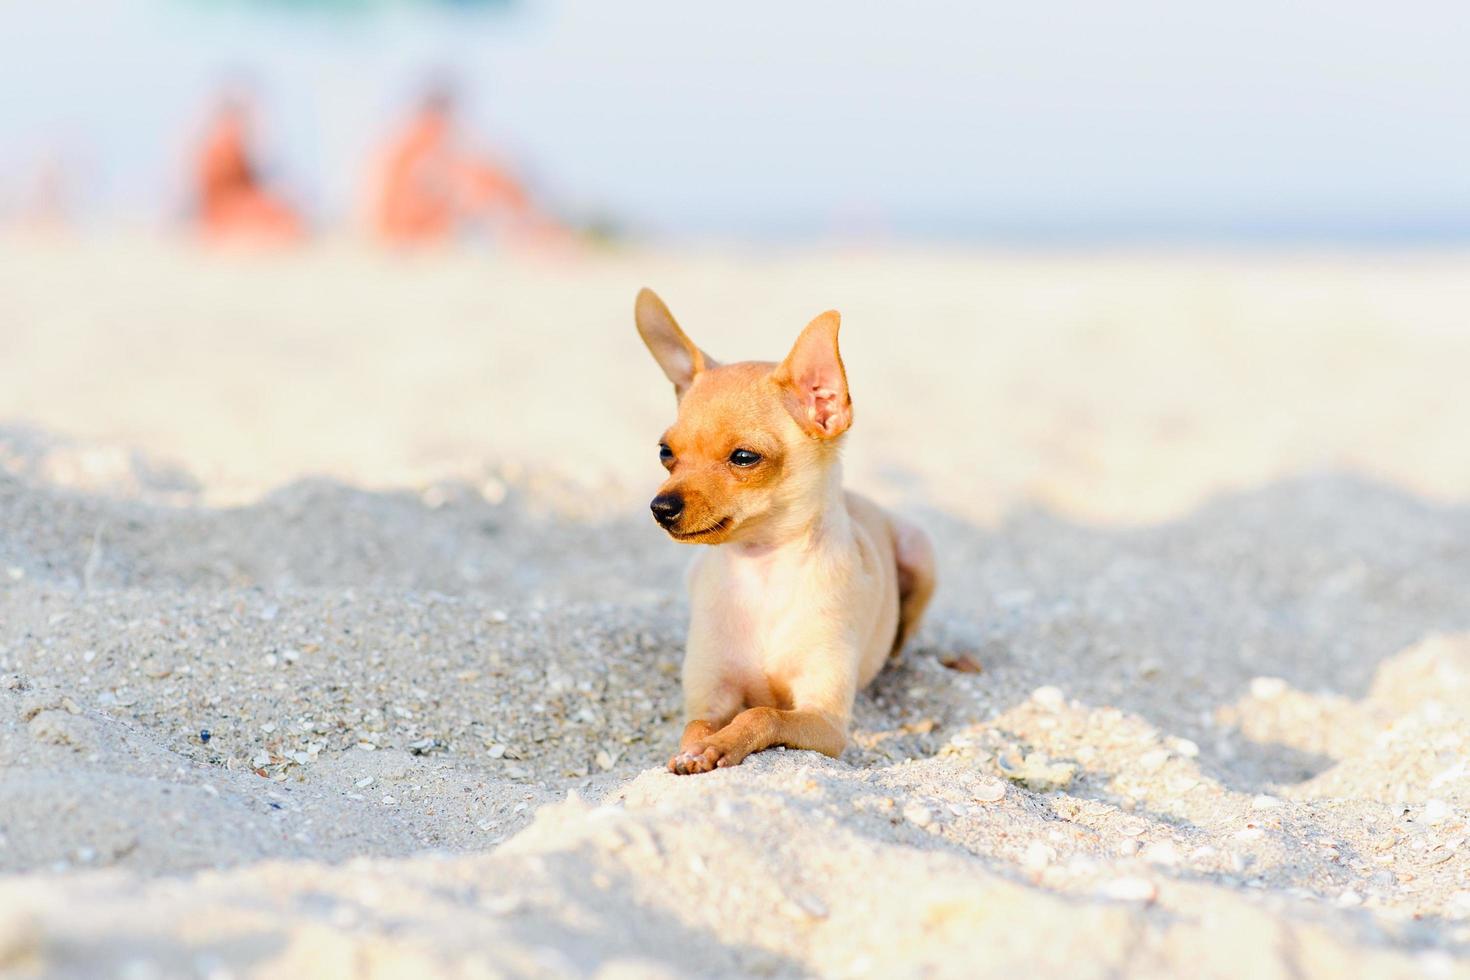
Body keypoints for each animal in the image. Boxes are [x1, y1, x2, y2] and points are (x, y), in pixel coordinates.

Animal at [635, 287, 940, 775]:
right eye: (666, 452)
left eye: (744, 458)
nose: (661, 507)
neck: (762, 573)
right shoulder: (710, 699)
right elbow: (697, 727)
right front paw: (697, 750)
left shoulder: (825, 721)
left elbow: (762, 713)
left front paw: (722, 745)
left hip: (921, 553)